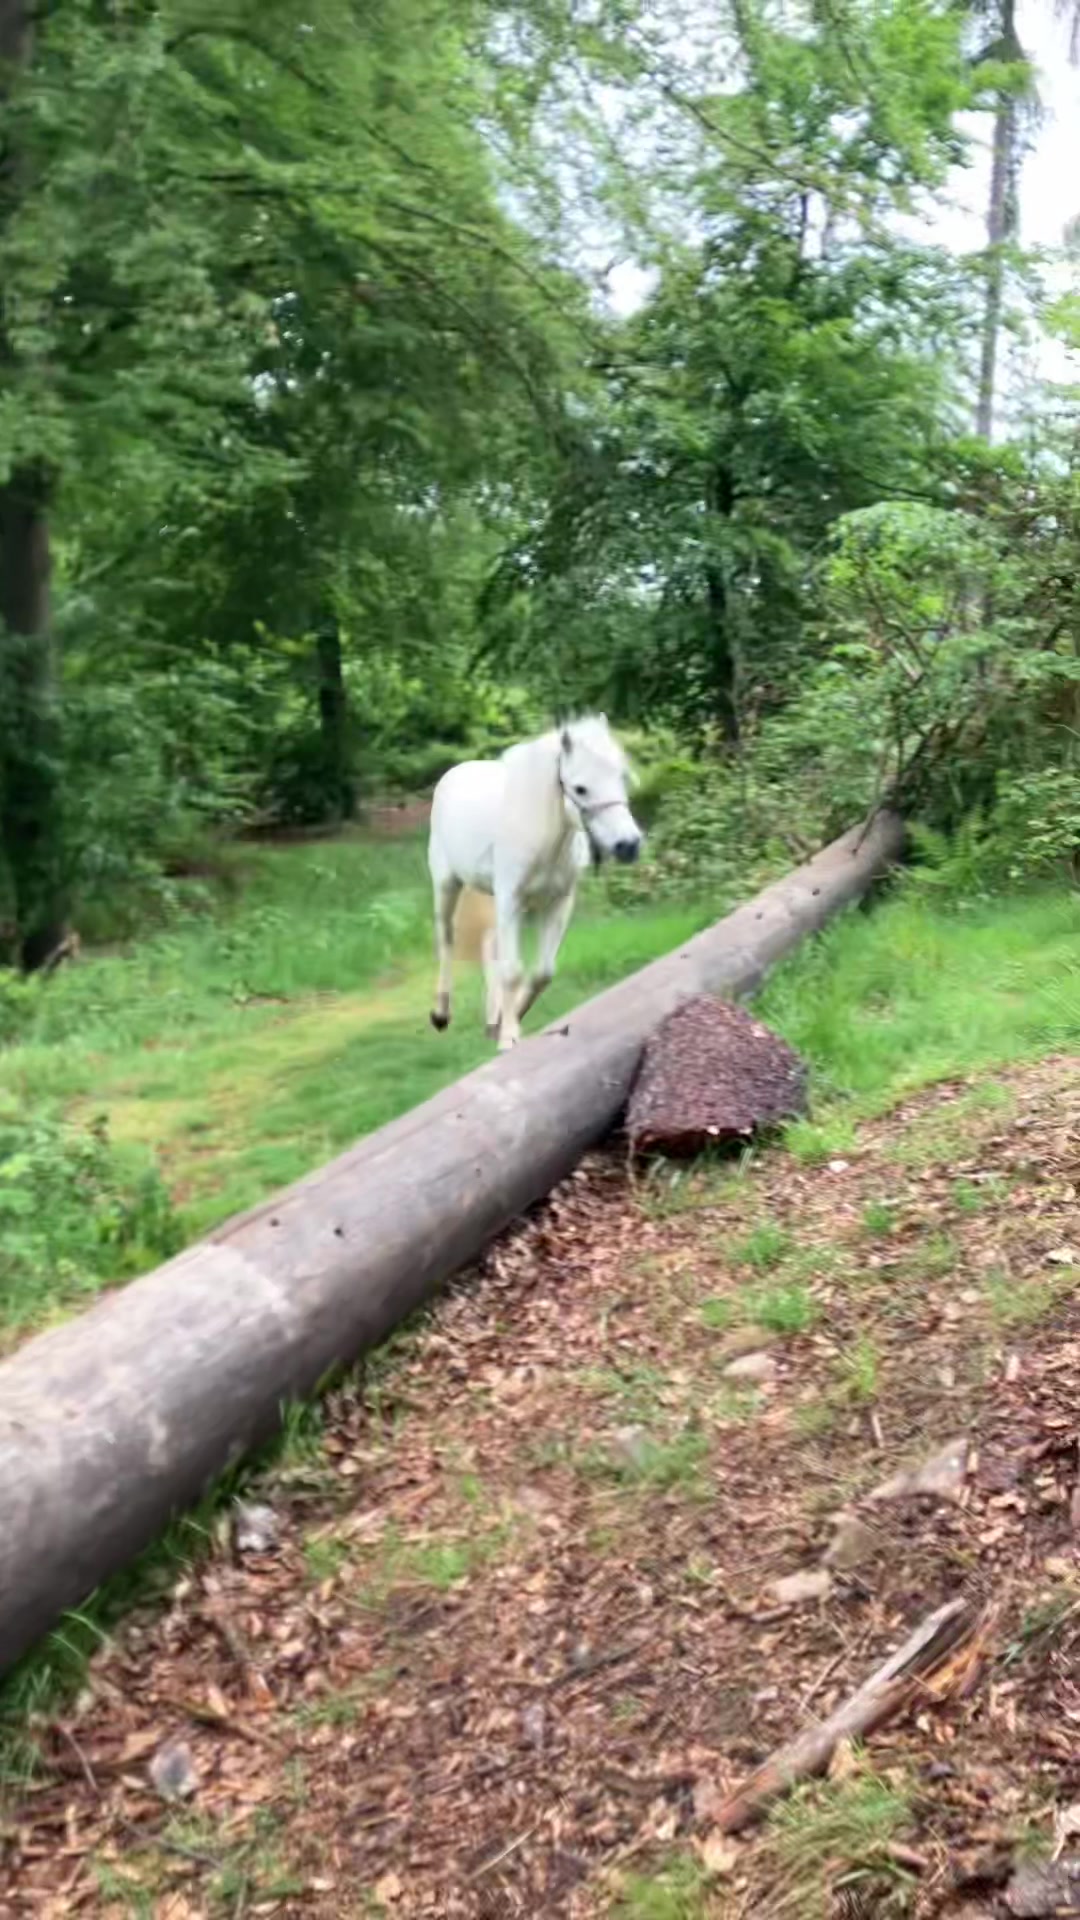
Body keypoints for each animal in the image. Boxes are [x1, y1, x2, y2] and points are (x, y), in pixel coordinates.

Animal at [427, 716, 643, 1051]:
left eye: (621, 776)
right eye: (580, 788)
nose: (628, 845)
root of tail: (453, 773)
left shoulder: (558, 903)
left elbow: (542, 972)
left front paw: (509, 1019)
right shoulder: (511, 901)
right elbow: (513, 969)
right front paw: (508, 1038)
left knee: (490, 943)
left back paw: (492, 1018)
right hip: (447, 884)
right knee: (447, 938)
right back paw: (441, 1015)